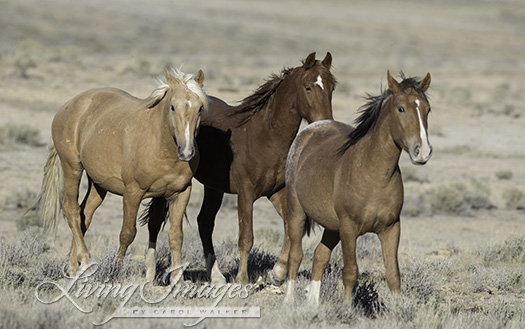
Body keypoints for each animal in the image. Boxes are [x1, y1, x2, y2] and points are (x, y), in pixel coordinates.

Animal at [32, 67, 209, 282]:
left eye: (200, 108)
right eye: (173, 107)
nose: (186, 152)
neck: (160, 145)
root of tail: (68, 105)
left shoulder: (180, 194)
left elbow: (176, 236)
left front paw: (178, 280)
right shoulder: (133, 193)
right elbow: (127, 233)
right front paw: (115, 271)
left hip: (98, 185)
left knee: (84, 215)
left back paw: (74, 268)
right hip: (72, 168)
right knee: (71, 210)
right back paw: (85, 263)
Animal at [141, 52, 334, 284]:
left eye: (332, 87)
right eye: (308, 87)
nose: (326, 124)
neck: (266, 138)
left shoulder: (276, 192)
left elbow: (290, 228)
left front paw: (277, 272)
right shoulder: (246, 194)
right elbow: (246, 237)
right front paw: (242, 280)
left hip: (213, 187)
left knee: (204, 222)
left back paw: (216, 275)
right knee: (156, 221)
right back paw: (151, 273)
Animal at [284, 70, 432, 304]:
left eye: (427, 110)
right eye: (401, 108)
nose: (423, 151)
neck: (373, 175)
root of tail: (312, 128)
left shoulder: (391, 228)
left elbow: (393, 274)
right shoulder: (349, 228)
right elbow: (350, 273)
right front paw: (347, 308)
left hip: (332, 227)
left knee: (319, 256)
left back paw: (312, 305)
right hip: (297, 213)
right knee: (295, 255)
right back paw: (288, 301)